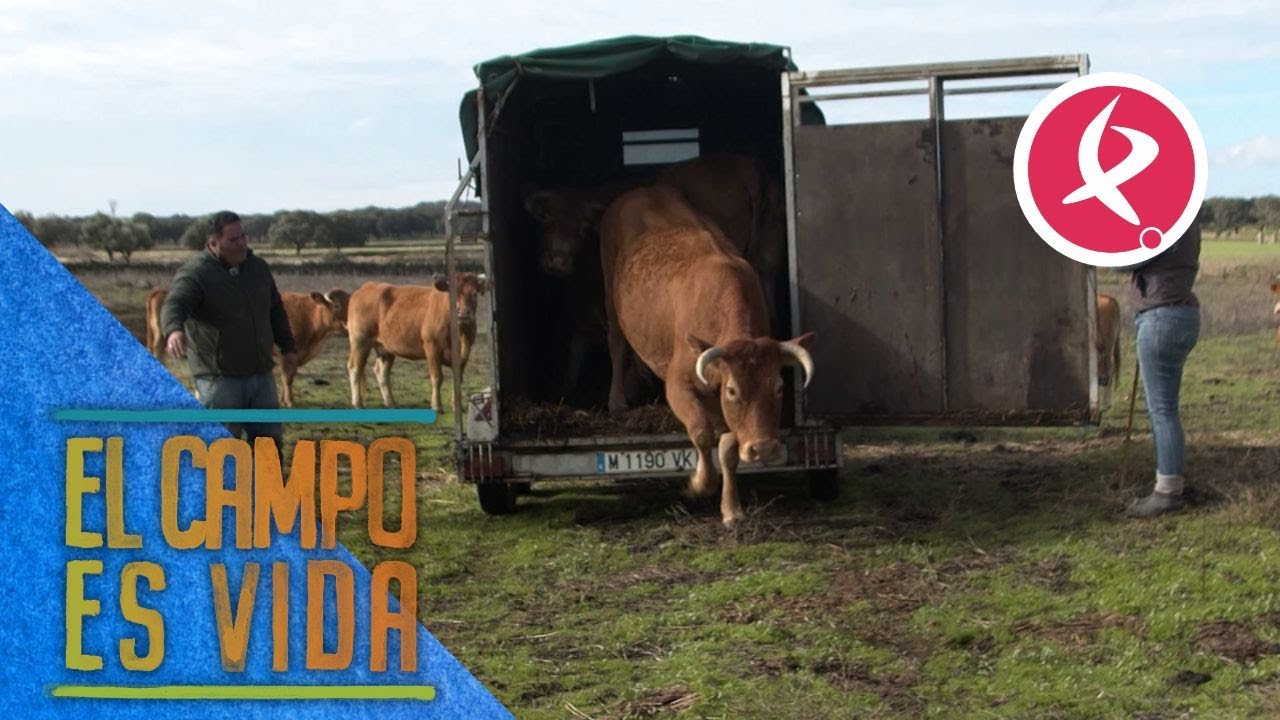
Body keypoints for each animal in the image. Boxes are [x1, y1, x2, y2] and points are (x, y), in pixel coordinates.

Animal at [346, 273, 487, 411]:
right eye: (451, 294)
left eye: (474, 293)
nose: (463, 313)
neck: (460, 333)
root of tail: (366, 287)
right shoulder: (432, 348)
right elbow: (437, 377)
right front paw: (436, 405)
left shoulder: (464, 354)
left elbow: (457, 380)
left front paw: (457, 406)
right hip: (360, 341)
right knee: (355, 368)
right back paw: (358, 403)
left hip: (385, 348)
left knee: (382, 372)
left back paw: (391, 403)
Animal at [599, 185, 814, 526]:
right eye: (733, 390)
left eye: (780, 388)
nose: (764, 448)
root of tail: (640, 190)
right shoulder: (678, 386)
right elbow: (701, 433)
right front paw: (700, 483)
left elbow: (727, 448)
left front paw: (732, 509)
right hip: (609, 292)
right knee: (617, 344)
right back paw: (618, 400)